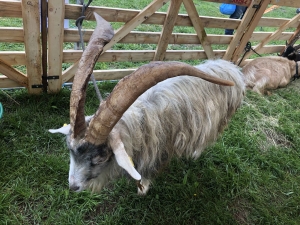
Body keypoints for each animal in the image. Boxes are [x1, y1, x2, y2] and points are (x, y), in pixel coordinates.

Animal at [49, 12, 246, 195]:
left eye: (100, 158)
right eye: (70, 149)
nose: (73, 187)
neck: (139, 125)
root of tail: (230, 67)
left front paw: (142, 188)